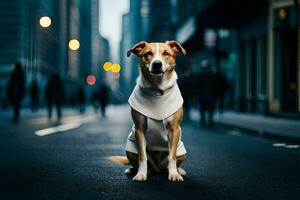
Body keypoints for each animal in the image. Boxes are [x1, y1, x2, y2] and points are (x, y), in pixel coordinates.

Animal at [108, 40, 188, 181]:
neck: (157, 90)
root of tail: (157, 168)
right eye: (148, 54)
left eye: (166, 53)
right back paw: (134, 170)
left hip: (181, 150)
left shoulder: (174, 130)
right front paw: (141, 174)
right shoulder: (139, 130)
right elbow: (142, 157)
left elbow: (172, 157)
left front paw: (174, 174)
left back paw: (178, 170)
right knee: (139, 162)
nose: (157, 63)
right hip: (130, 148)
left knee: (171, 162)